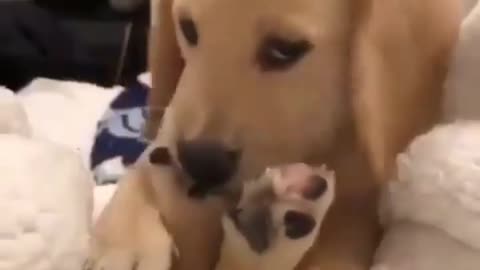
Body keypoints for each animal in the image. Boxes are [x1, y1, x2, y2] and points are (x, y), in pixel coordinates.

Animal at [89, 0, 462, 268]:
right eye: (188, 29)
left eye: (285, 49)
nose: (199, 164)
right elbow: (139, 179)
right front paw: (126, 241)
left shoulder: (356, 214)